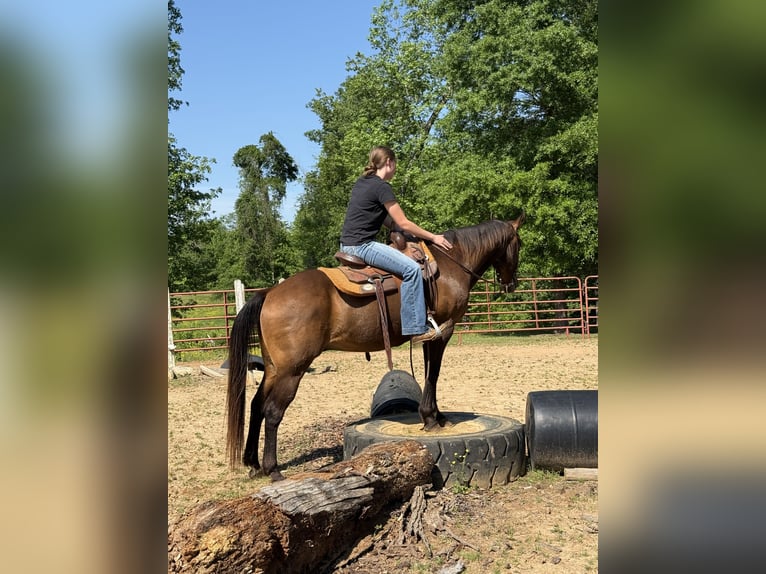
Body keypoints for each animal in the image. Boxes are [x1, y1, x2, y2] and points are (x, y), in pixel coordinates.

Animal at [226, 214, 525, 481]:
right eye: (518, 243)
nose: (511, 283)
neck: (450, 266)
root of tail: (269, 293)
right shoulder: (441, 332)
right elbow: (433, 373)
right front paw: (430, 418)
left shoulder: (429, 336)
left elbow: (430, 373)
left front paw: (437, 416)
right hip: (292, 370)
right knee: (273, 411)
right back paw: (272, 469)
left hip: (274, 368)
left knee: (255, 405)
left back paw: (252, 463)